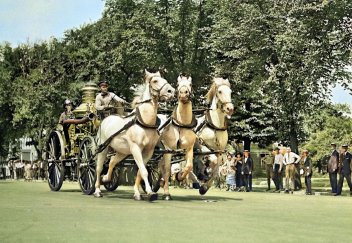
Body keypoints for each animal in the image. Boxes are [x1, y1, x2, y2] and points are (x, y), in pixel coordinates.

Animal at [94, 69, 175, 200]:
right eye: (155, 80)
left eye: (164, 79)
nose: (171, 91)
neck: (144, 122)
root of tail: (106, 119)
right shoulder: (136, 148)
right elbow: (144, 171)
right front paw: (150, 192)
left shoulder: (148, 151)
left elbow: (140, 171)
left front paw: (137, 192)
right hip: (103, 148)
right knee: (99, 167)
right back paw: (97, 190)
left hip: (122, 151)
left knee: (112, 161)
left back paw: (106, 178)